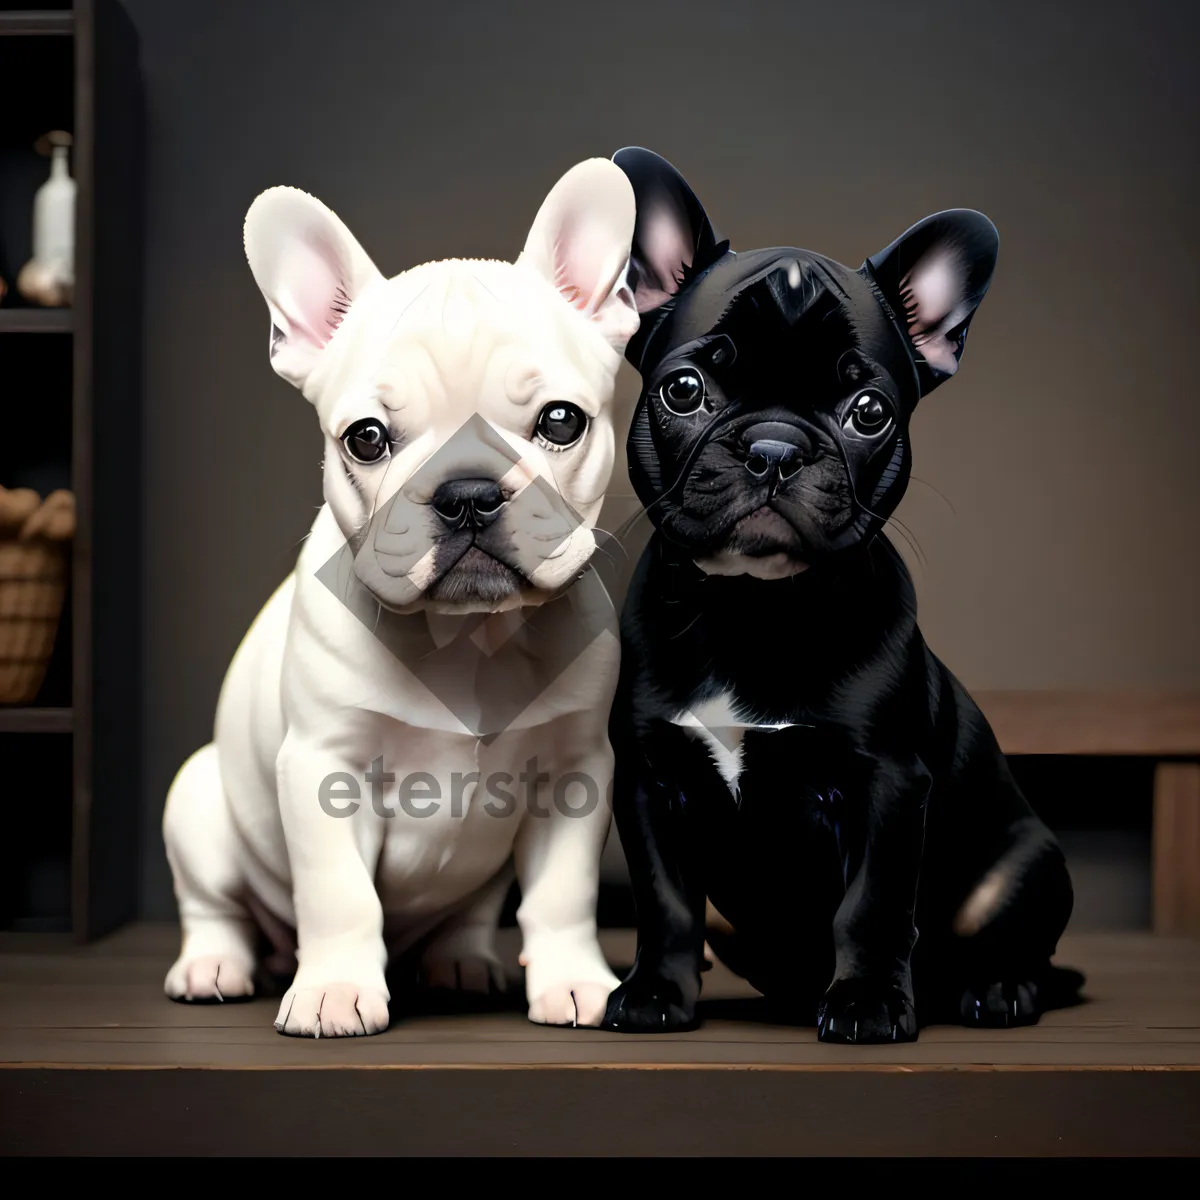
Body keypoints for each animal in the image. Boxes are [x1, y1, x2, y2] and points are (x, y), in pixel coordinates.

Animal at [164, 159, 643, 1036]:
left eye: (561, 422)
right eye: (366, 438)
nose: (468, 494)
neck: (470, 637)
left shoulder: (575, 774)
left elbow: (563, 896)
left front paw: (576, 982)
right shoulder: (325, 767)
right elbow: (340, 896)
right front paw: (334, 992)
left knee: (470, 914)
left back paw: (464, 961)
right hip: (198, 802)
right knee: (212, 904)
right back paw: (216, 965)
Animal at [604, 147, 1084, 1041]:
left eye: (868, 411)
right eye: (683, 390)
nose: (773, 448)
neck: (753, 610)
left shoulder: (887, 786)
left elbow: (873, 905)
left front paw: (865, 1004)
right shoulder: (652, 784)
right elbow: (665, 902)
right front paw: (654, 992)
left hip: (1024, 867)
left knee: (1012, 946)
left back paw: (996, 989)